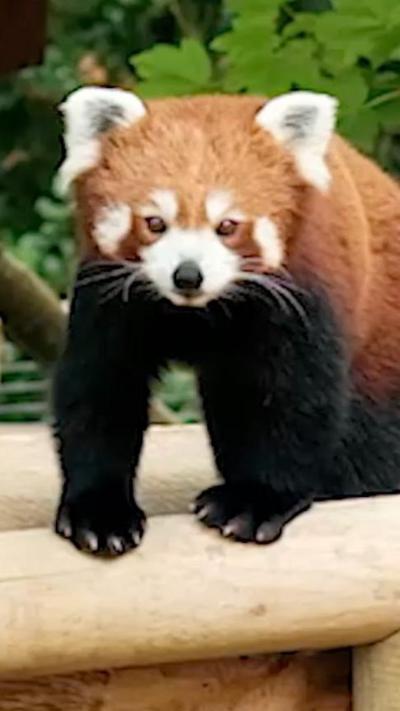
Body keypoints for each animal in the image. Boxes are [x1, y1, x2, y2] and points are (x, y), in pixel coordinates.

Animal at [53, 86, 400, 555]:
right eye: (155, 222)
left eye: (228, 225)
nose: (188, 274)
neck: (198, 312)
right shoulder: (111, 296)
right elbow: (101, 390)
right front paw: (99, 510)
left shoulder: (302, 294)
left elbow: (291, 399)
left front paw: (256, 500)